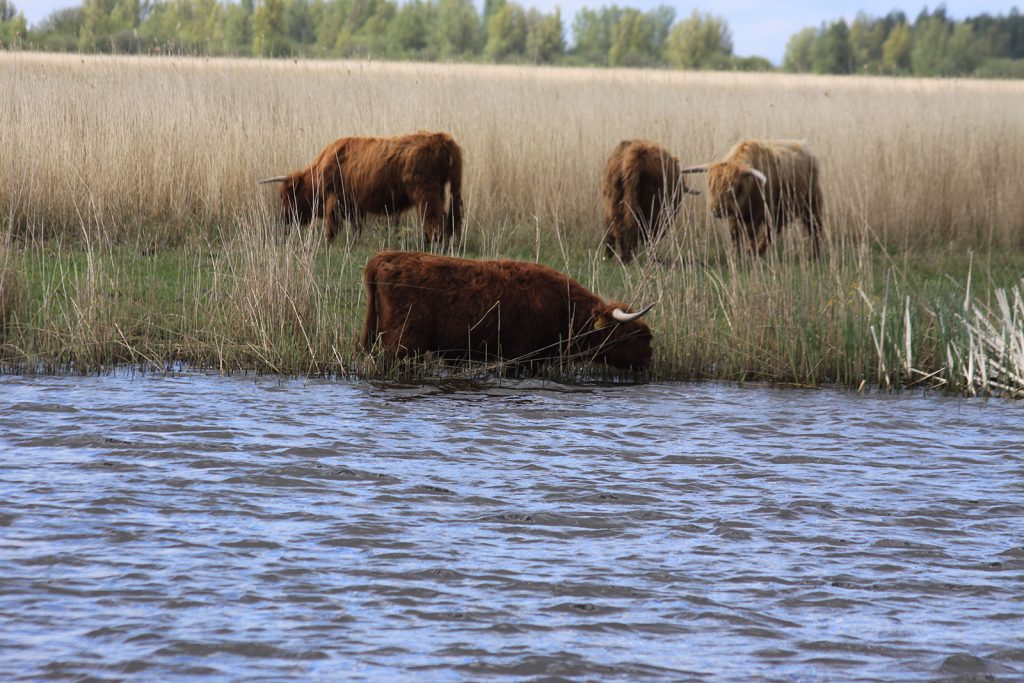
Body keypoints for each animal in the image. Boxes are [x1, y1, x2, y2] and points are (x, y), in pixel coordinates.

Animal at [260, 130, 464, 242]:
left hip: (425, 192)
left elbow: (332, 225)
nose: (285, 219)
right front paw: (356, 242)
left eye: (287, 195)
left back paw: (434, 241)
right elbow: (356, 225)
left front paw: (328, 244)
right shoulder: (355, 205)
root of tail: (442, 138)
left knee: (434, 216)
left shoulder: (335, 199)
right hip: (440, 190)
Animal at [360, 249, 655, 368]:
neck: (565, 308)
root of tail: (385, 257)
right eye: (637, 335)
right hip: (403, 343)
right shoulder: (523, 358)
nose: (650, 358)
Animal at [679, 140, 823, 258]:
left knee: (814, 227)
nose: (717, 210)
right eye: (710, 185)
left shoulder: (757, 213)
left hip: (811, 202)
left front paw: (750, 253)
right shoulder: (734, 214)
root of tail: (806, 147)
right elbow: (734, 234)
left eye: (733, 187)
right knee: (773, 230)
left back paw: (815, 255)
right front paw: (736, 254)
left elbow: (751, 233)